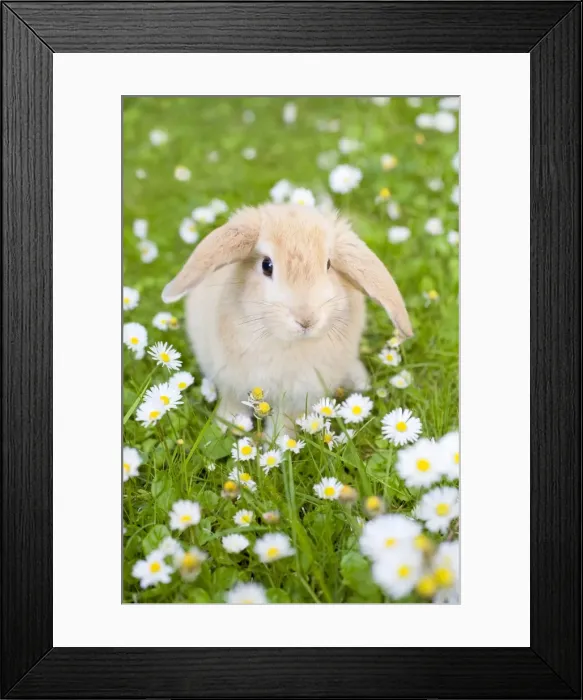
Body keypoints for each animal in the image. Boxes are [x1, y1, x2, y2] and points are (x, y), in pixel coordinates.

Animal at [162, 203, 412, 437]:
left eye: (328, 265)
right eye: (266, 265)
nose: (306, 320)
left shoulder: (297, 395)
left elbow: (284, 424)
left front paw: (278, 444)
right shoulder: (231, 380)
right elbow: (231, 406)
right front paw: (226, 429)